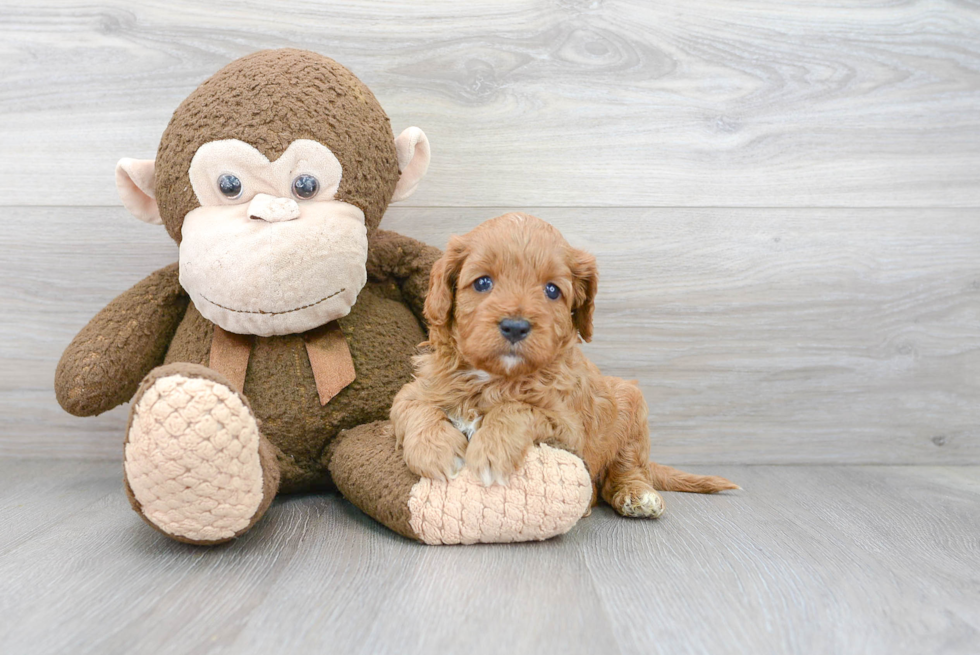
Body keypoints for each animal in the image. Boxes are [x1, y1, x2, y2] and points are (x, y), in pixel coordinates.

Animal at [390, 214, 736, 516]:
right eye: (483, 283)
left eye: (552, 290)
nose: (515, 326)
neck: (495, 377)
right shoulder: (420, 387)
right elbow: (412, 405)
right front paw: (435, 450)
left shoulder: (569, 428)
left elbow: (517, 408)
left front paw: (492, 450)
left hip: (631, 405)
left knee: (624, 471)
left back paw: (637, 494)